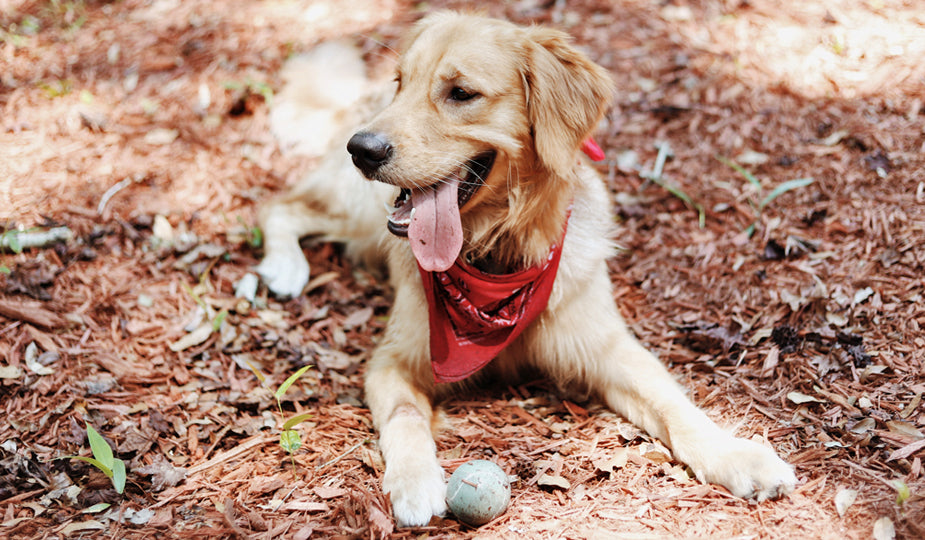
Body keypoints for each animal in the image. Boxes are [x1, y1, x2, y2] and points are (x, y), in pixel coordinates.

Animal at [258, 11, 796, 528]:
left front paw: (736, 455)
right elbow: (406, 413)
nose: (363, 149)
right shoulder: (391, 360)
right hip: (361, 212)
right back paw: (284, 268)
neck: (497, 257)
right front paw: (414, 482)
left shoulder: (605, 346)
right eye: (400, 83)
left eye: (460, 93)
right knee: (282, 206)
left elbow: (672, 402)